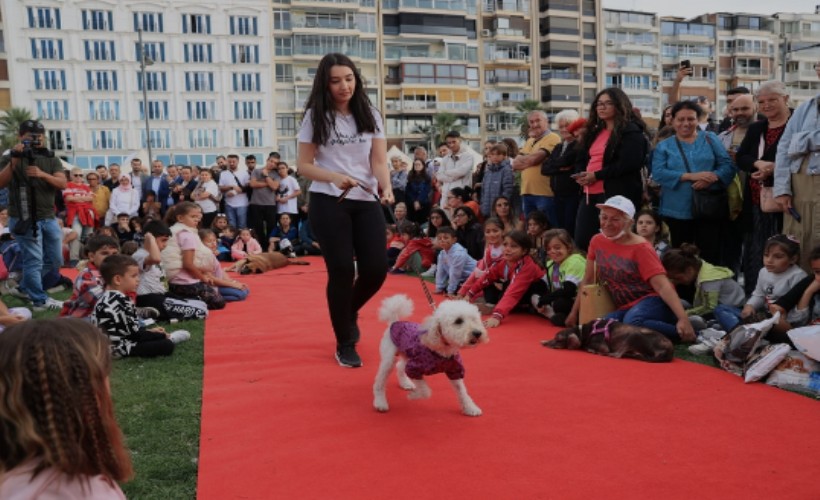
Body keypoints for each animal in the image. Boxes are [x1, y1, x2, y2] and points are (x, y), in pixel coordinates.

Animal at [540, 320, 672, 364]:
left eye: (558, 340)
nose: (545, 344)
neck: (584, 331)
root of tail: (670, 350)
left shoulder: (603, 346)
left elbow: (589, 346)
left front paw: (591, 349)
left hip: (634, 334)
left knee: (617, 355)